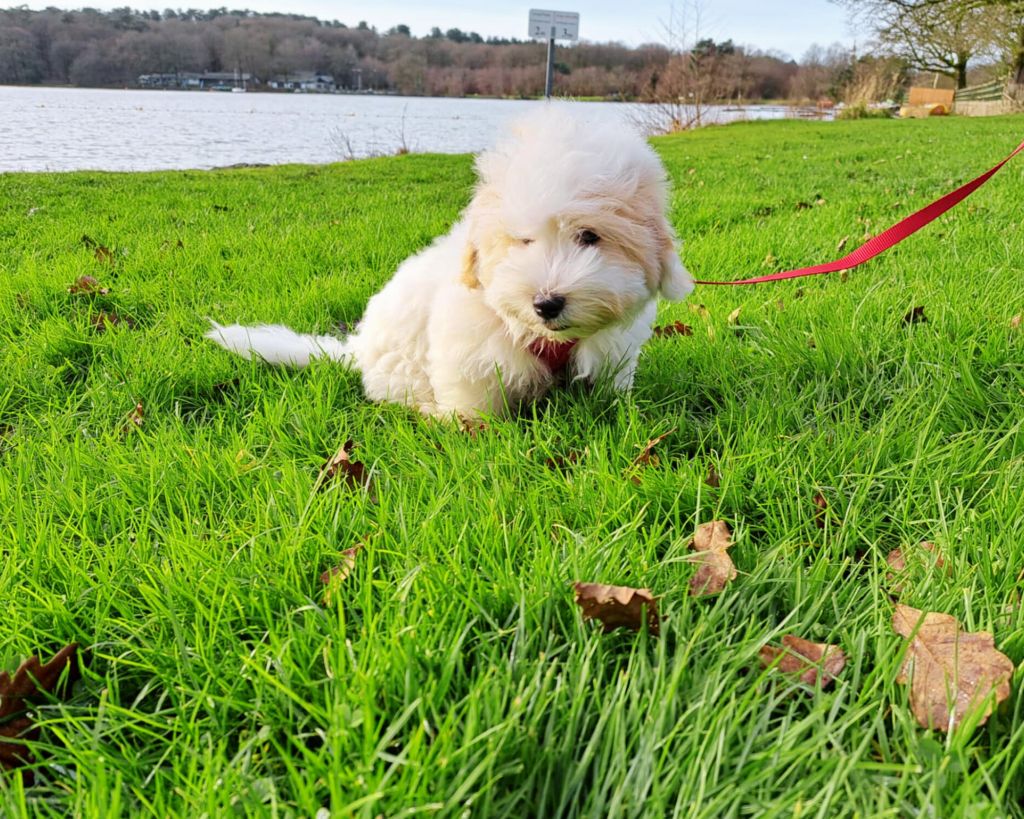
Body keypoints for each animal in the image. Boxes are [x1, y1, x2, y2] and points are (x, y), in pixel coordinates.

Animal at [204, 105, 692, 419]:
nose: (546, 303)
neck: (545, 337)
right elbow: (473, 395)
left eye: (589, 236)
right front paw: (470, 428)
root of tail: (354, 351)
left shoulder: (612, 348)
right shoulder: (469, 345)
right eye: (523, 240)